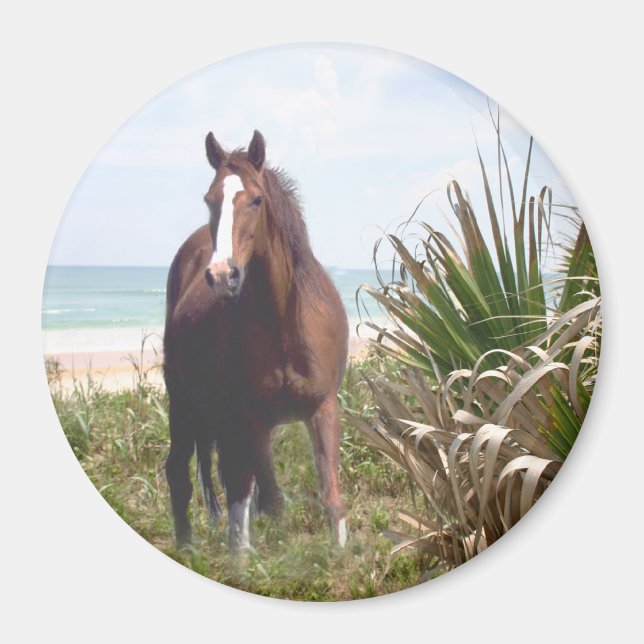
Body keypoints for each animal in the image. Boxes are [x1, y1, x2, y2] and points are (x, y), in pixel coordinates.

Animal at [163, 130, 349, 552]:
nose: (221, 275)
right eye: (209, 199)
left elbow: (329, 496)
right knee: (179, 474)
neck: (285, 323)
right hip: (183, 403)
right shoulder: (249, 417)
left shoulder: (323, 407)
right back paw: (187, 551)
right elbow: (254, 499)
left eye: (257, 200)